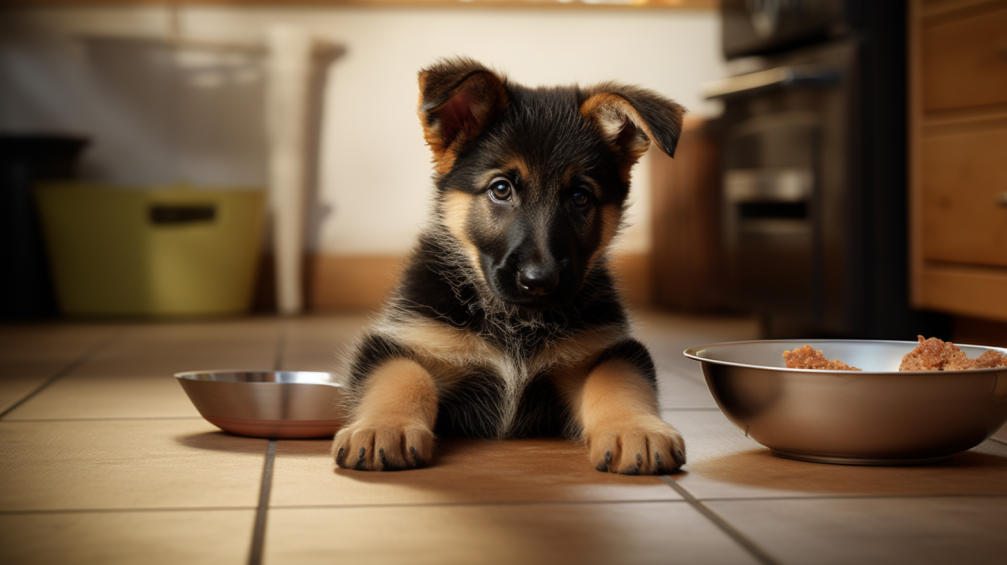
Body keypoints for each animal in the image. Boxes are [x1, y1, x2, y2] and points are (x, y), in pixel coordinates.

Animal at [334, 56, 688, 471]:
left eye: (580, 196)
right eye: (501, 189)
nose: (540, 280)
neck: (517, 321)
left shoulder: (605, 349)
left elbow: (617, 379)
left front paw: (637, 429)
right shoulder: (403, 339)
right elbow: (403, 376)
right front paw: (383, 427)